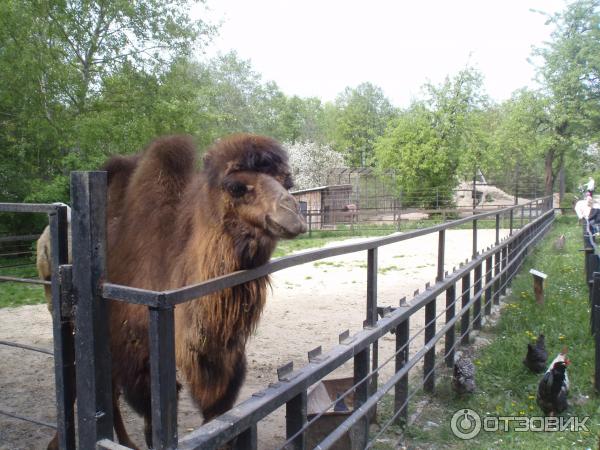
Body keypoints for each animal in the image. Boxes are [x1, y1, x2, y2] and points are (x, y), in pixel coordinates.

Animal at [102, 133, 304, 446]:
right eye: (235, 186)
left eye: (287, 181)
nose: (292, 213)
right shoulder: (136, 356)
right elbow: (152, 424)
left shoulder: (222, 363)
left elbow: (218, 420)